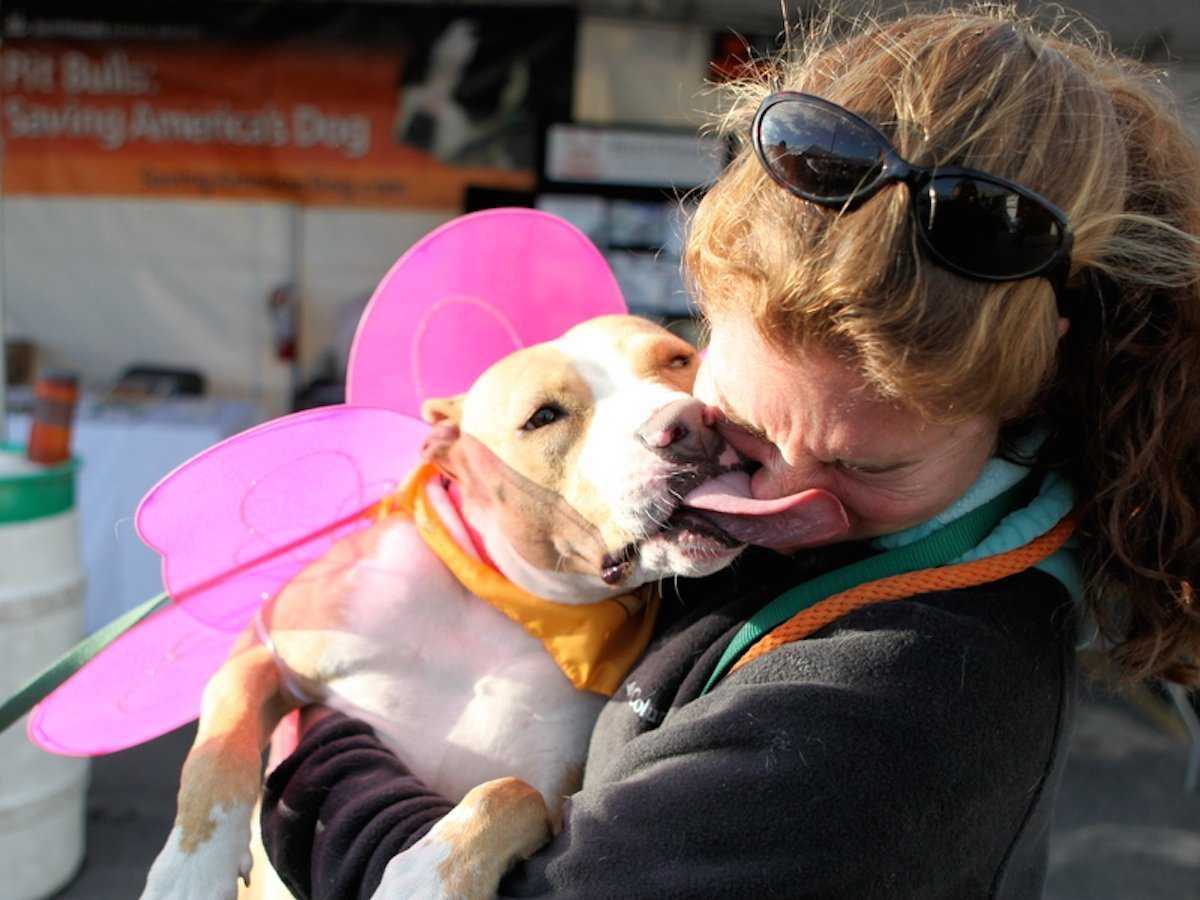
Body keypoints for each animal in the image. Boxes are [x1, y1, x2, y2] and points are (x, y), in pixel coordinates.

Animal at [140, 319, 753, 900]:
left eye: (678, 359)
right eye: (544, 416)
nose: (690, 422)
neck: (502, 607)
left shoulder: (557, 803)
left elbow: (511, 792)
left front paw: (429, 876)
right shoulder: (265, 651)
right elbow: (220, 748)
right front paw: (191, 870)